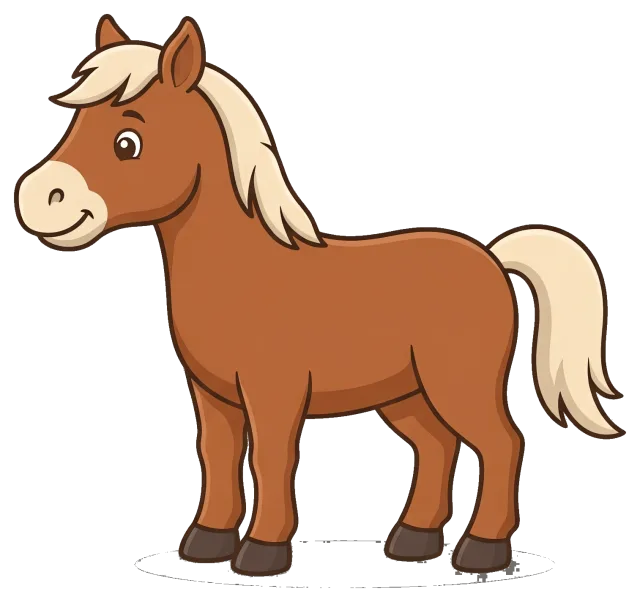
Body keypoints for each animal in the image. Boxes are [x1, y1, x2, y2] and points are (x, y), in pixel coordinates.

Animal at [14, 15, 624, 577]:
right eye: (76, 122)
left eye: (128, 142)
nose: (39, 198)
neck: (241, 273)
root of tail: (493, 259)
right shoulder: (211, 395)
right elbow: (217, 456)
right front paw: (206, 543)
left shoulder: (274, 392)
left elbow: (270, 459)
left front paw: (262, 552)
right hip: (406, 395)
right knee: (435, 447)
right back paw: (413, 542)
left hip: (458, 386)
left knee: (501, 445)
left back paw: (481, 551)